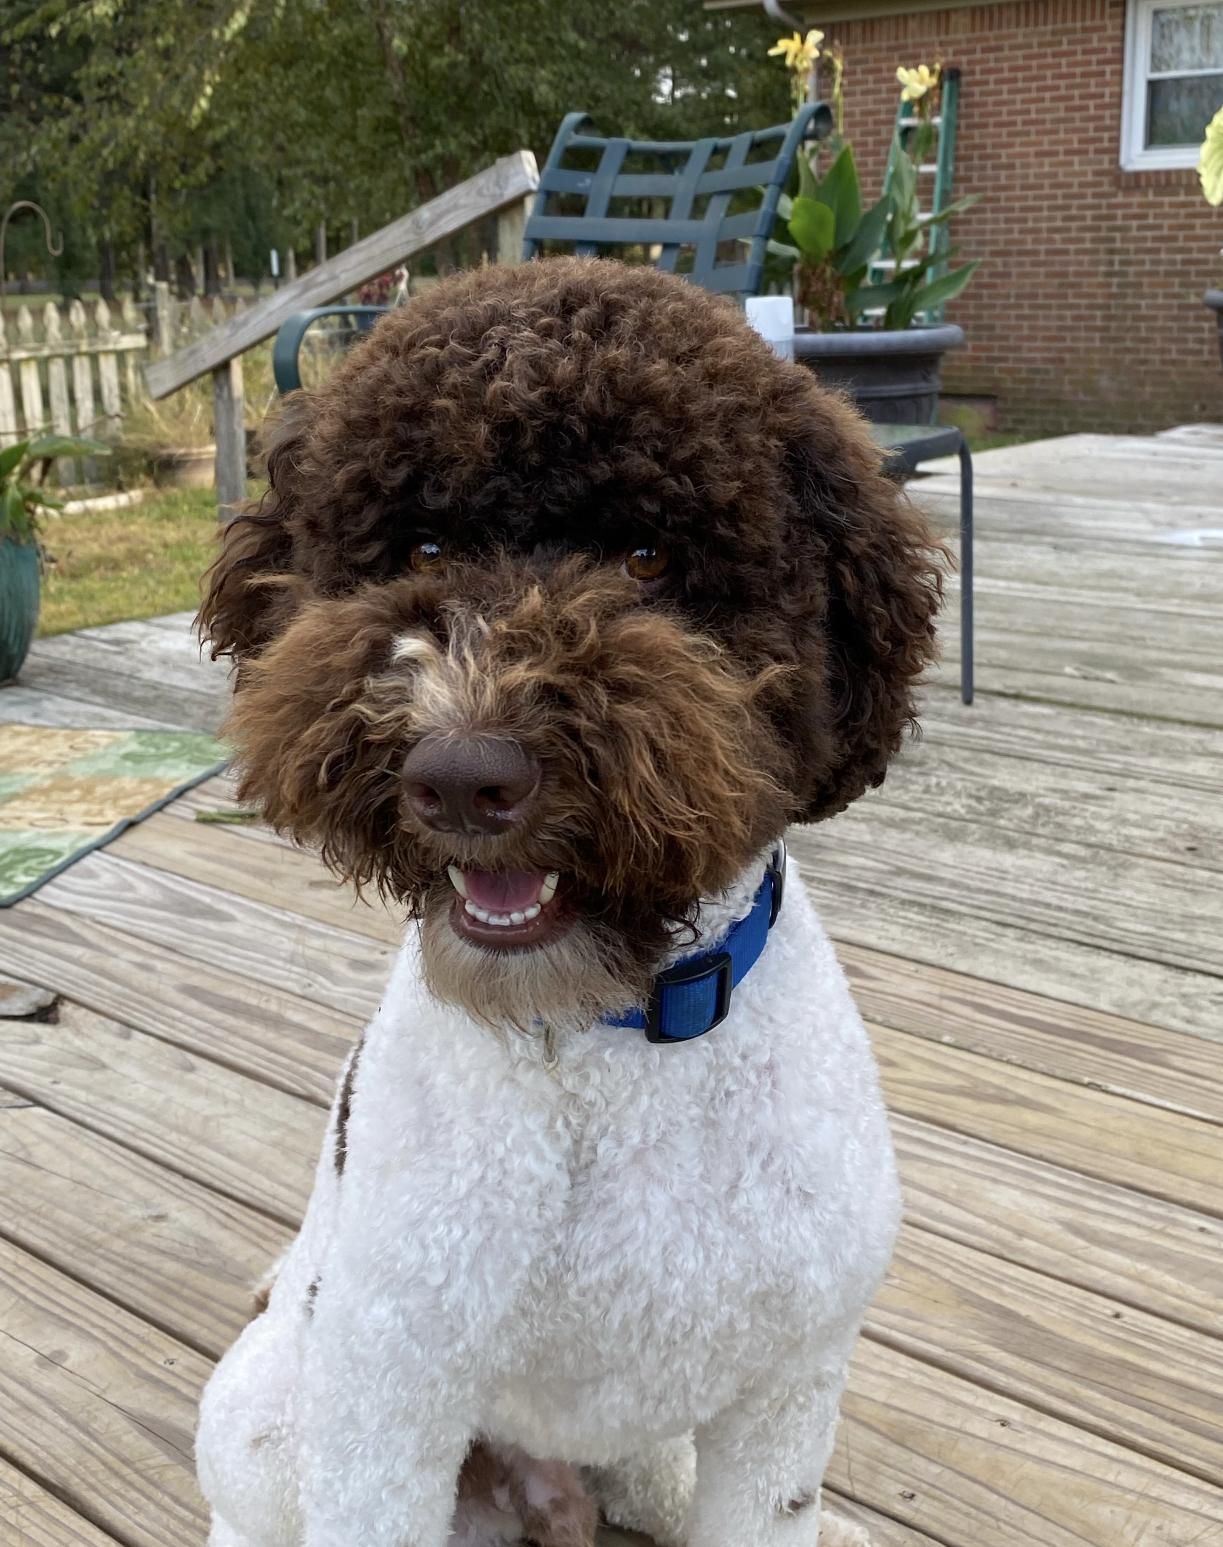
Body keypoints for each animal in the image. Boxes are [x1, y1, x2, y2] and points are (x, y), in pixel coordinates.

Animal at [194, 257, 941, 1547]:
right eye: (422, 543)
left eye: (645, 556)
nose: (459, 774)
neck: (606, 1032)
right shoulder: (385, 1391)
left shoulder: (785, 1390)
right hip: (265, 1422)